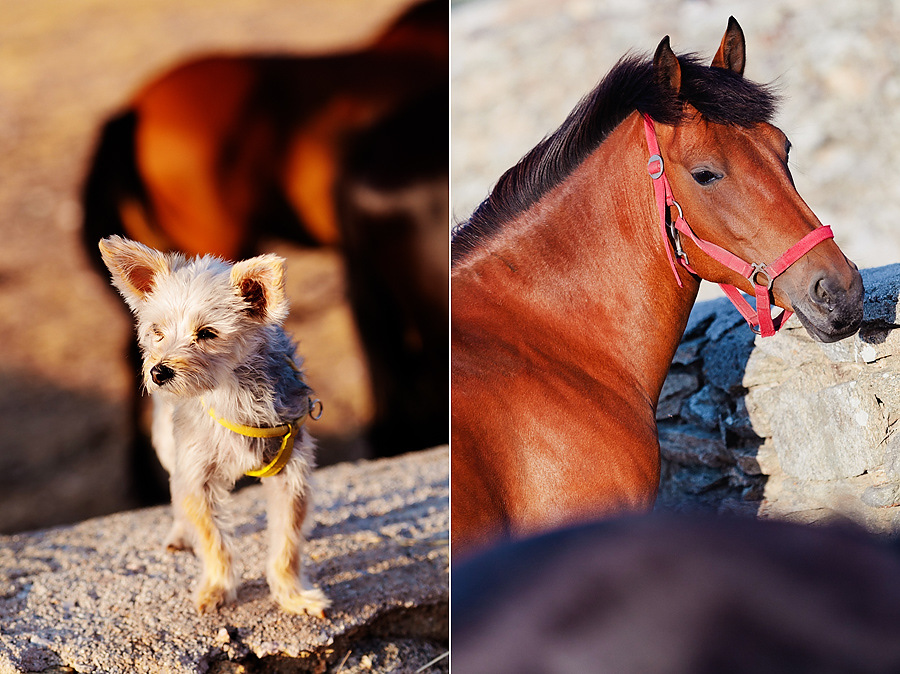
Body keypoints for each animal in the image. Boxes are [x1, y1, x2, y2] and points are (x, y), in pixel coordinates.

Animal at [99, 232, 330, 616]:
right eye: (157, 332)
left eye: (207, 333)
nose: (158, 371)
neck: (233, 394)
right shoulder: (197, 474)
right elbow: (213, 539)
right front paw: (218, 588)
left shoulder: (291, 477)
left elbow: (287, 542)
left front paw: (292, 594)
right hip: (168, 445)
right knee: (175, 488)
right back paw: (181, 533)